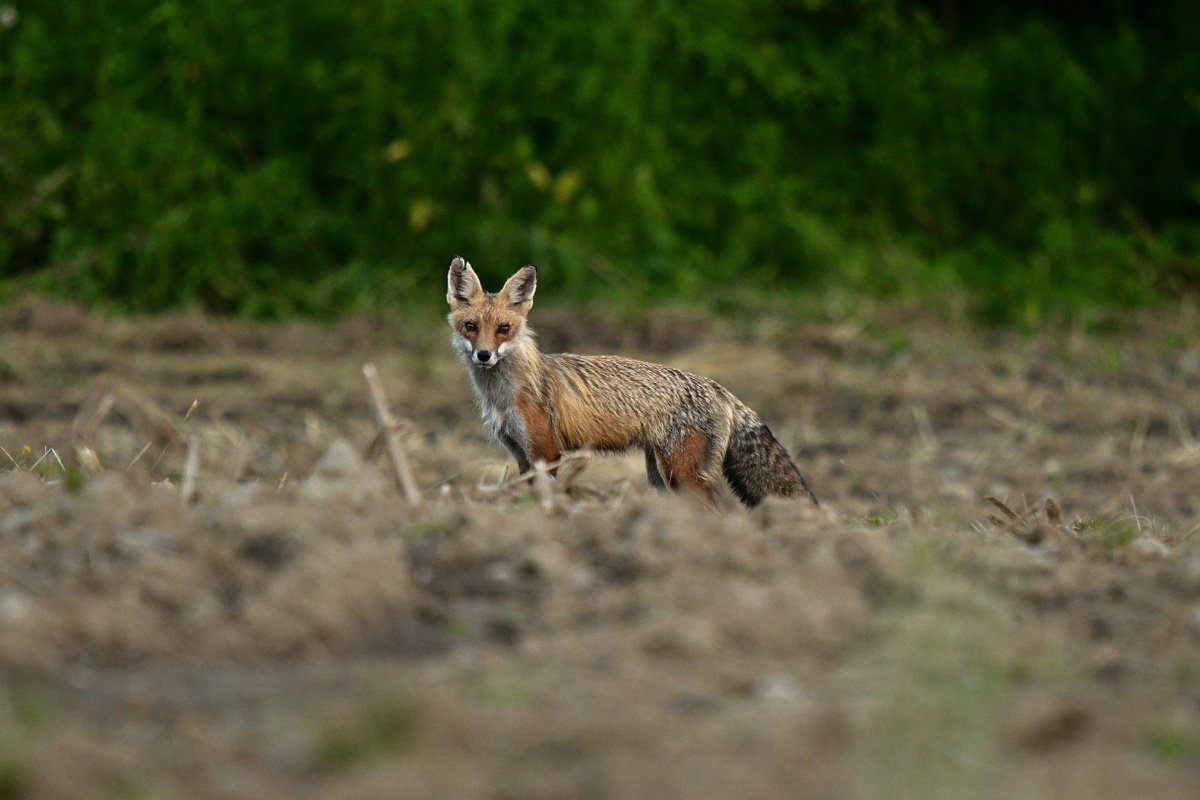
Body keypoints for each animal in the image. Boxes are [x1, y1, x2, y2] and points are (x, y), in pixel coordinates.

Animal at [446, 256, 820, 506]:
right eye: (470, 326)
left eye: (504, 329)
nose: (484, 356)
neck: (503, 396)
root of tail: (718, 387)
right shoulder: (522, 455)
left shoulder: (547, 452)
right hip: (661, 478)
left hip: (682, 476)